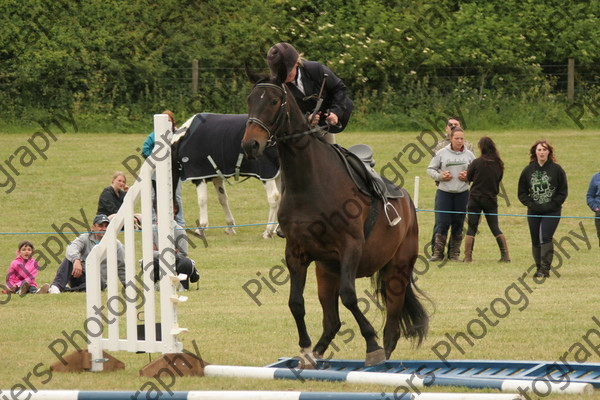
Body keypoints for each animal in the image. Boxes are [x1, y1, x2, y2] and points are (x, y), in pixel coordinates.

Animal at [241, 69, 428, 366]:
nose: (250, 145)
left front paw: (371, 344)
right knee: (332, 322)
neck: (309, 182)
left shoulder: (351, 246)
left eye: (273, 101)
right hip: (326, 271)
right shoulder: (296, 252)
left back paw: (382, 352)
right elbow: (296, 303)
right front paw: (305, 351)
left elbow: (350, 296)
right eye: (250, 100)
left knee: (392, 326)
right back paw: (317, 351)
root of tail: (407, 201)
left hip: (397, 271)